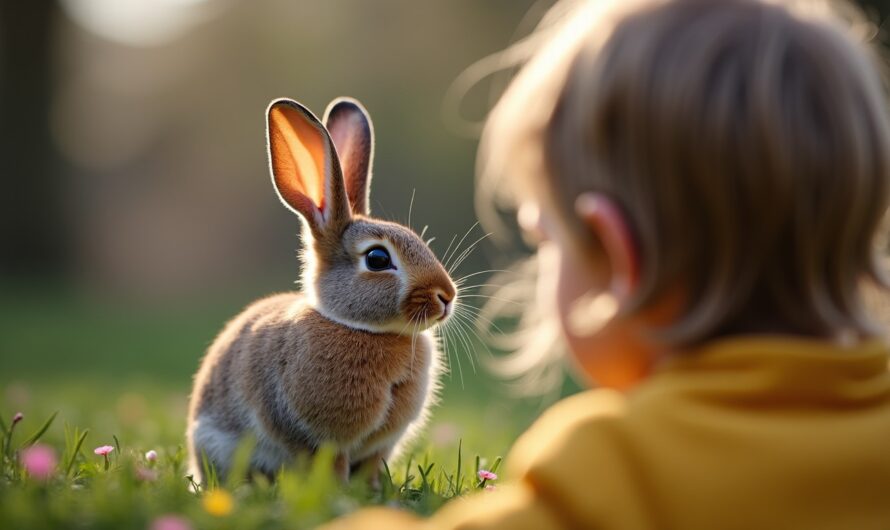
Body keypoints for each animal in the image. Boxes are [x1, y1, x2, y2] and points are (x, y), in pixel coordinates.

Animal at [186, 97, 457, 485]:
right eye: (377, 258)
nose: (446, 297)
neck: (361, 328)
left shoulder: (379, 447)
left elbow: (373, 466)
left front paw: (374, 489)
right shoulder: (320, 441)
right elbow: (333, 466)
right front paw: (342, 492)